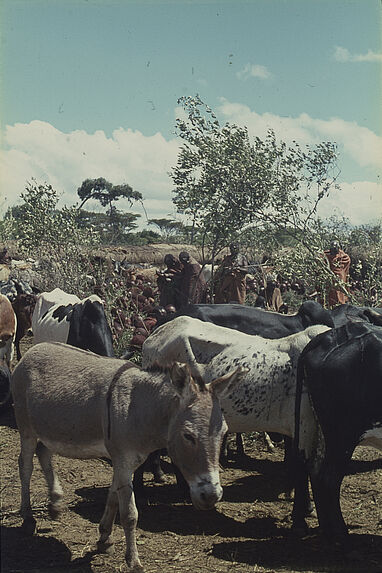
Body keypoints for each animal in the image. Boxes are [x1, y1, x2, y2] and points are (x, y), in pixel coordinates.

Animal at [292, 320, 382, 544]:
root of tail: (330, 336)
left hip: (312, 425)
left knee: (310, 468)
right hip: (342, 435)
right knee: (328, 478)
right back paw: (339, 533)